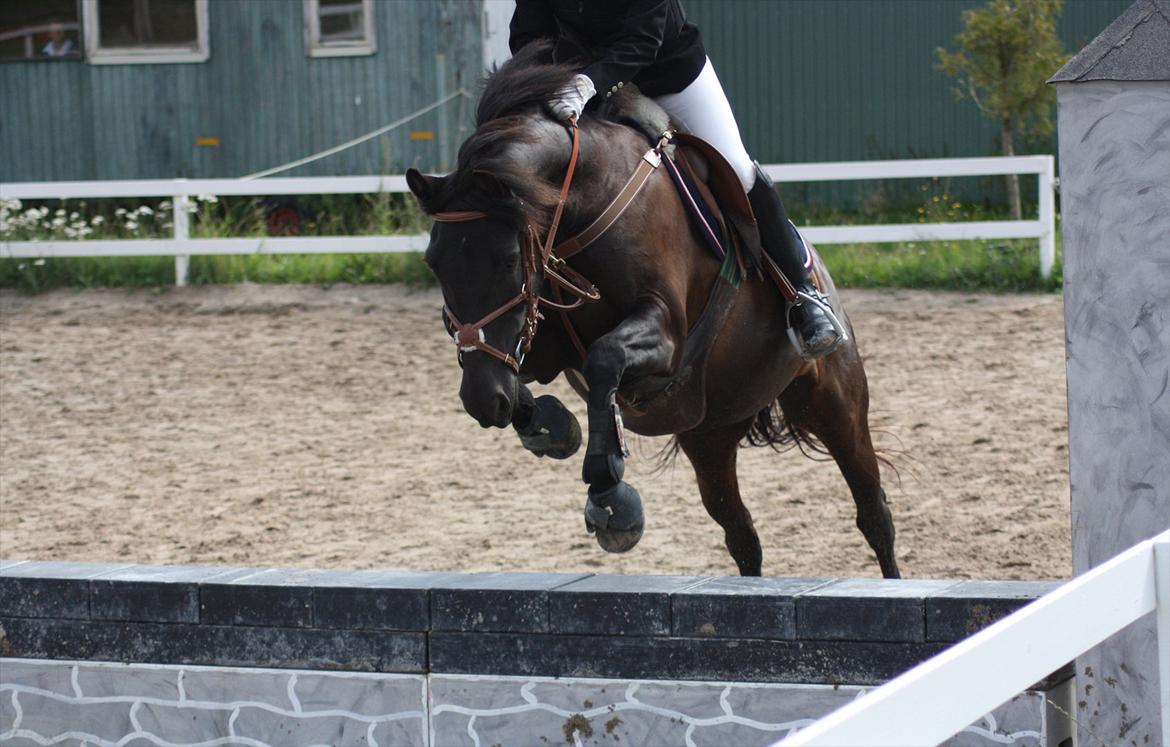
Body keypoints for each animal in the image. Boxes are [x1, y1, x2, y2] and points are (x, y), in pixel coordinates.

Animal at [405, 45, 900, 578]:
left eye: (509, 259)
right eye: (434, 263)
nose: (481, 402)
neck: (583, 202)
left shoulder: (666, 333)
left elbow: (604, 359)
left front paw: (608, 490)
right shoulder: (542, 341)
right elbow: (523, 371)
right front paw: (550, 427)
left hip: (834, 405)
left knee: (873, 514)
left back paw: (814, 318)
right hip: (710, 436)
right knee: (742, 537)